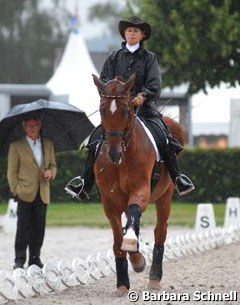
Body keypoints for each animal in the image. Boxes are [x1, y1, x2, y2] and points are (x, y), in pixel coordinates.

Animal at [91, 73, 184, 292]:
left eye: (126, 110)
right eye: (101, 109)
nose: (113, 153)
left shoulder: (141, 191)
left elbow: (133, 219)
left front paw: (136, 254)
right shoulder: (109, 201)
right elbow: (118, 237)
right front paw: (123, 282)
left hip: (165, 197)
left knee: (160, 231)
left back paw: (154, 278)